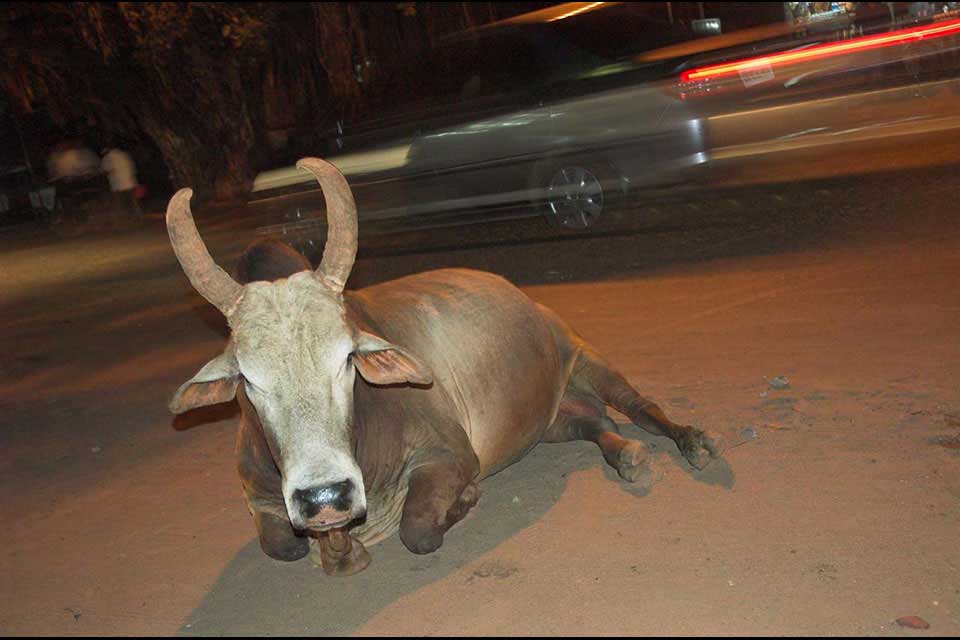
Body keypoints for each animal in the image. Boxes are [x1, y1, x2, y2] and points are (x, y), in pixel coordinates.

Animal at [167, 158, 723, 576]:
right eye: (247, 379)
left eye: (347, 357)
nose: (325, 497)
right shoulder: (258, 499)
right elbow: (283, 546)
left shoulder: (451, 455)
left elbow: (417, 530)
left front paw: (465, 500)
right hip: (548, 423)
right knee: (597, 424)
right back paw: (625, 454)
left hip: (585, 356)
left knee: (639, 407)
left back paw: (690, 442)